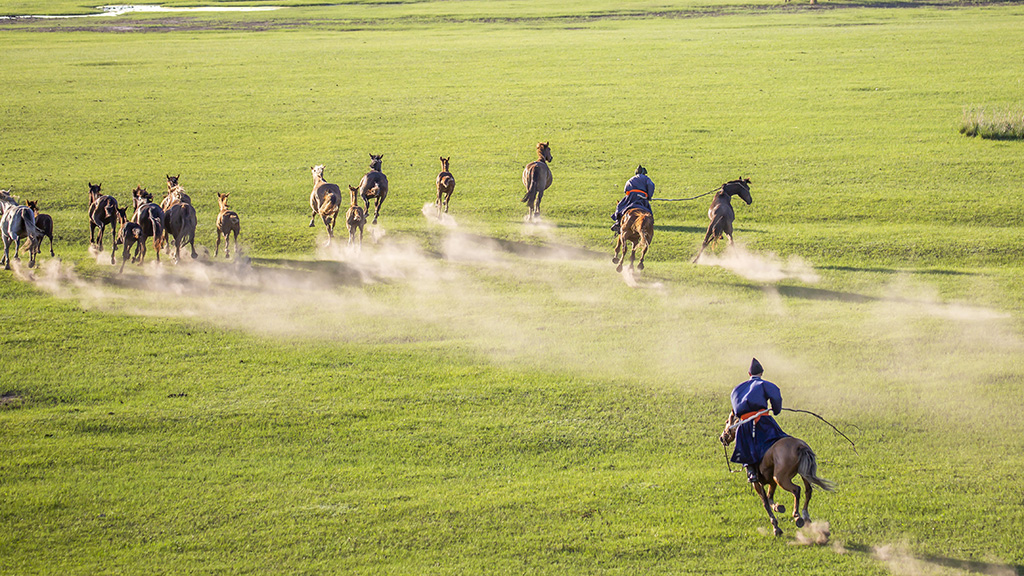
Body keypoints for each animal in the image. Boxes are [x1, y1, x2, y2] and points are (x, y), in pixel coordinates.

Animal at [720, 409, 831, 537]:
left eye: (727, 421)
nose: (722, 438)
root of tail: (800, 446)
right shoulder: (772, 482)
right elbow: (769, 497)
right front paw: (779, 507)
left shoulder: (757, 484)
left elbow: (765, 502)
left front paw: (776, 527)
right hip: (803, 475)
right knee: (808, 491)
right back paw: (806, 517)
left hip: (781, 478)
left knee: (796, 490)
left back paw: (797, 516)